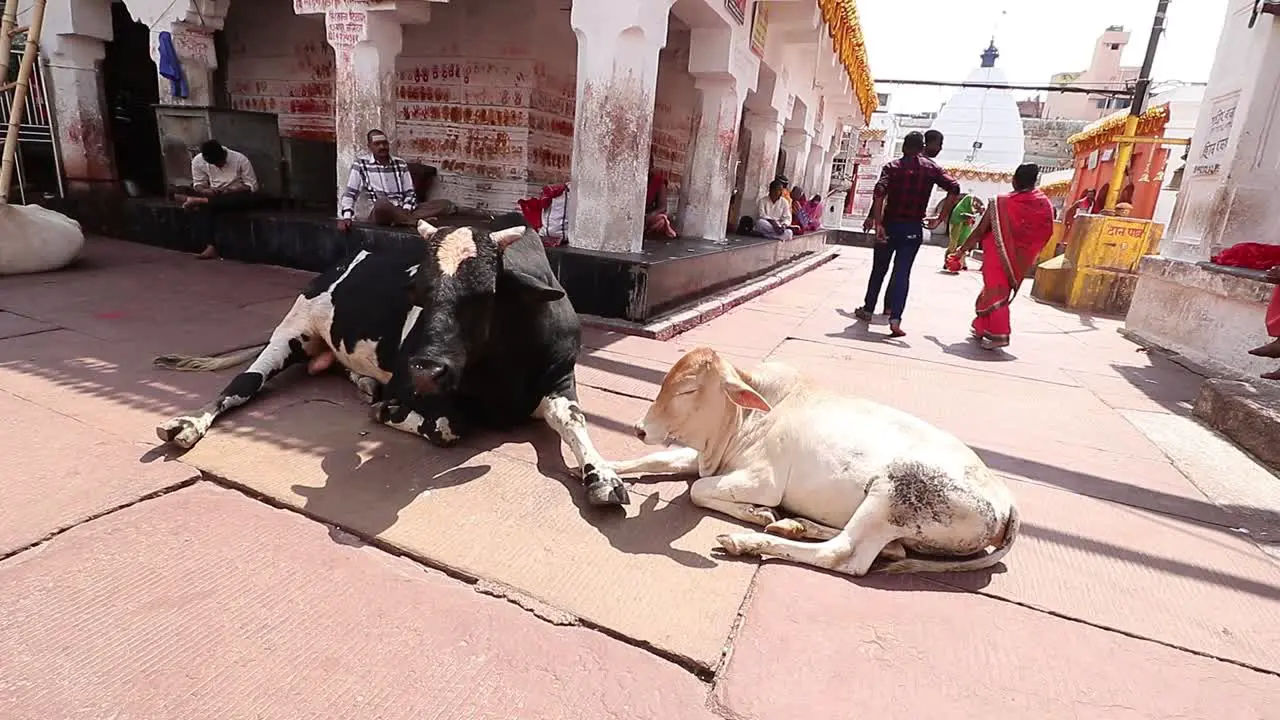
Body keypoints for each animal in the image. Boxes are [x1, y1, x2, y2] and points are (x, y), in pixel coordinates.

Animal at [154, 212, 629, 504]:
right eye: (417, 291)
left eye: (484, 294)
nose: (426, 368)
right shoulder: (416, 390)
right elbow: (447, 425)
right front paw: (388, 411)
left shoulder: (560, 377)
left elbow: (574, 421)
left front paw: (603, 476)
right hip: (292, 330)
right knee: (242, 385)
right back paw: (189, 423)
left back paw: (363, 383)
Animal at [609, 345, 1018, 573]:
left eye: (688, 389)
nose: (640, 429)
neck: (747, 417)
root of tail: (1006, 502)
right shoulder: (705, 456)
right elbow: (655, 461)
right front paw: (608, 469)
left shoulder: (763, 481)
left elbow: (697, 491)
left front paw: (758, 513)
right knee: (892, 548)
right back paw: (796, 525)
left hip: (893, 491)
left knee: (845, 555)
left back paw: (749, 541)